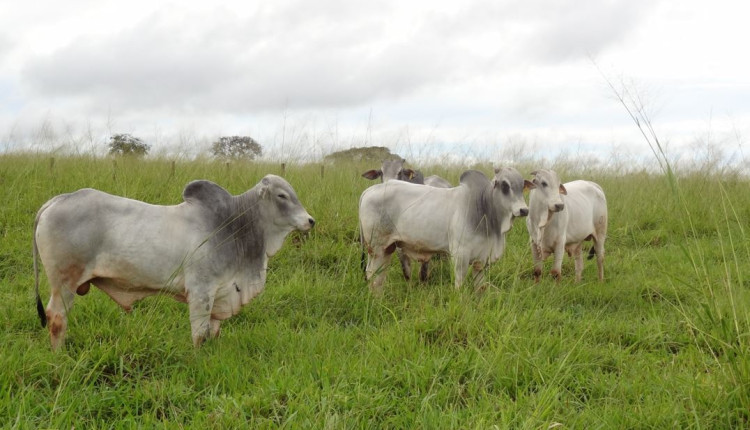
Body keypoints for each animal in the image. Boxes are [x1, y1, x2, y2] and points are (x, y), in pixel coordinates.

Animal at [31, 175, 314, 350]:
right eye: (282, 196)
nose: (310, 221)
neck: (235, 224)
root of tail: (57, 199)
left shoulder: (222, 292)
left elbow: (214, 331)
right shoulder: (201, 290)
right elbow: (200, 334)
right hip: (64, 282)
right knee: (57, 318)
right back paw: (59, 355)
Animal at [360, 168, 532, 292]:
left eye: (522, 186)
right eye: (505, 186)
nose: (524, 210)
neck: (485, 209)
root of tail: (369, 191)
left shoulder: (481, 260)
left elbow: (480, 287)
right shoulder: (460, 255)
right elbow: (459, 285)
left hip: (387, 248)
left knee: (379, 275)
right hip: (377, 248)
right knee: (372, 273)